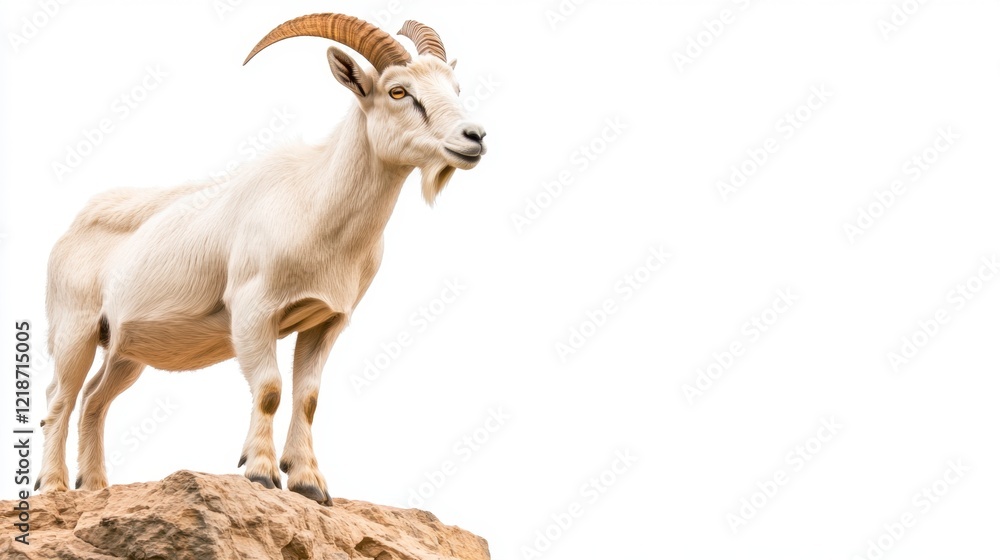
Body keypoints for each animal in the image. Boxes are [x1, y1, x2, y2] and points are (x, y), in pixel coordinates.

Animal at [36, 13, 487, 505]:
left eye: (455, 88)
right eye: (399, 91)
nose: (475, 137)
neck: (313, 204)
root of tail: (70, 231)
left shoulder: (325, 321)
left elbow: (308, 397)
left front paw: (309, 483)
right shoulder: (253, 311)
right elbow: (269, 389)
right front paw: (261, 473)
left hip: (124, 349)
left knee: (94, 399)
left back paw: (96, 488)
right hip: (74, 329)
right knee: (59, 399)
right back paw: (53, 487)